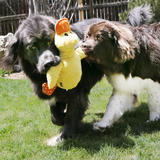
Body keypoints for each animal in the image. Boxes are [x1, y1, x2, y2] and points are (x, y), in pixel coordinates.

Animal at [3, 5, 152, 145]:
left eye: (50, 42)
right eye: (33, 47)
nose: (49, 63)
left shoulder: (77, 92)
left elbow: (71, 114)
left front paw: (65, 134)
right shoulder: (54, 92)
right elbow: (55, 117)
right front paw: (63, 119)